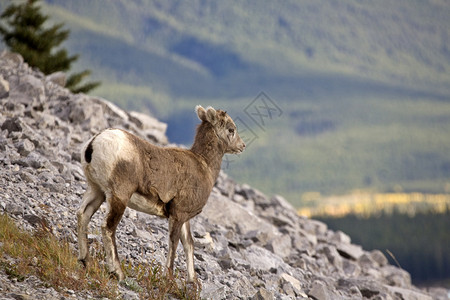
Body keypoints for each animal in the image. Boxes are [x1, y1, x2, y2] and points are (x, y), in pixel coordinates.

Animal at [78, 105, 246, 282]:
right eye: (231, 129)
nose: (242, 146)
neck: (204, 165)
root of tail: (94, 143)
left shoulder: (184, 216)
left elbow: (189, 243)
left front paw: (193, 282)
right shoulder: (178, 215)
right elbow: (174, 243)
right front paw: (169, 278)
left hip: (96, 190)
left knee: (83, 215)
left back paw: (86, 261)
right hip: (119, 196)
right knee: (108, 227)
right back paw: (117, 272)